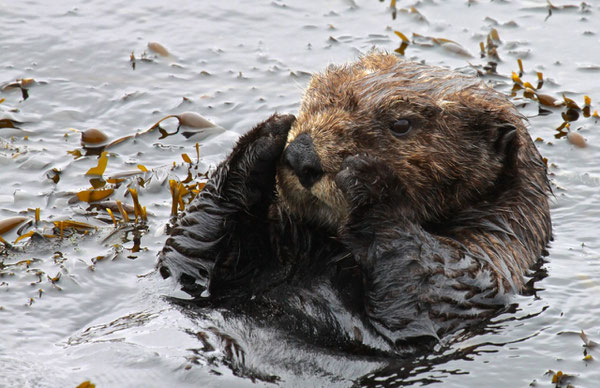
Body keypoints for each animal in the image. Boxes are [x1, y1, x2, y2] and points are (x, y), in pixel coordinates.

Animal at [157, 52, 552, 348]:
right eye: (313, 97)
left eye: (402, 124)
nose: (302, 154)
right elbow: (184, 257)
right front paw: (267, 135)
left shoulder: (489, 263)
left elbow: (428, 288)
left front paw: (368, 178)